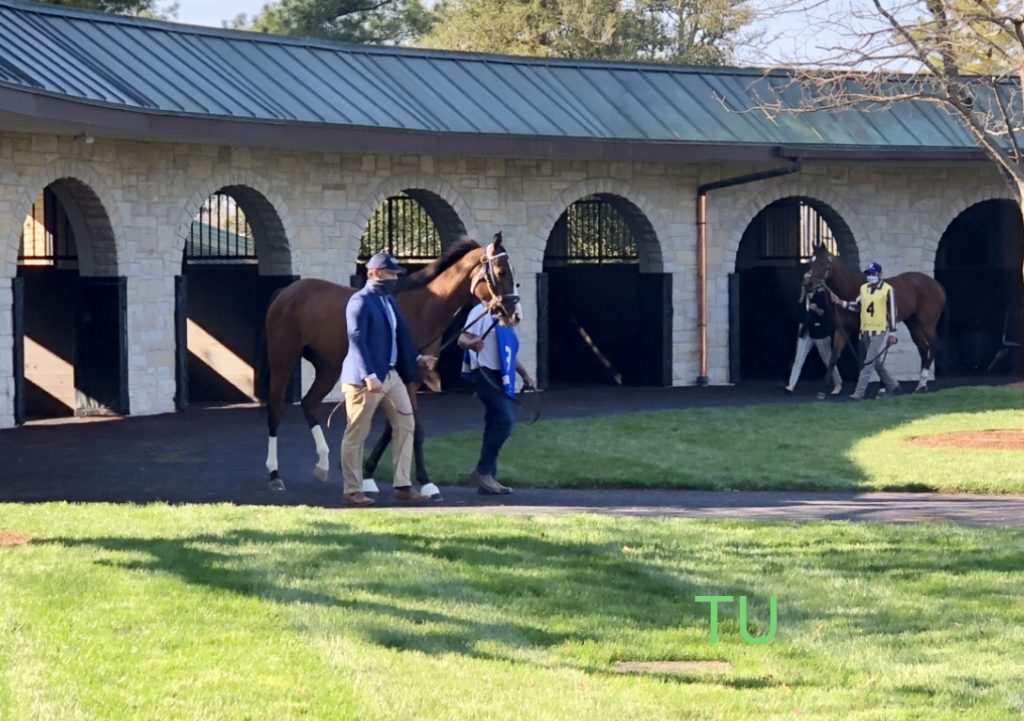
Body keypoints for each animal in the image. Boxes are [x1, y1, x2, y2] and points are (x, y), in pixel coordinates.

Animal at [262, 235, 520, 489]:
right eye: (501, 271)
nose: (515, 314)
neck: (421, 309)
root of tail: (286, 291)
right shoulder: (406, 380)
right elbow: (415, 429)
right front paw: (426, 481)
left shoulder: (408, 380)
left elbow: (392, 428)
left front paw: (368, 471)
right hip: (283, 359)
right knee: (276, 410)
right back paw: (274, 475)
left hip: (328, 367)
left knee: (309, 403)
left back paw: (323, 464)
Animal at [806, 243, 942, 391]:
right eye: (810, 262)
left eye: (821, 262)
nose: (809, 285)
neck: (849, 289)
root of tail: (938, 286)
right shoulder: (842, 329)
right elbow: (834, 357)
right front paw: (822, 390)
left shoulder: (862, 331)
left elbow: (866, 357)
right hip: (913, 324)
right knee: (923, 348)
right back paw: (920, 384)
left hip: (927, 324)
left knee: (933, 345)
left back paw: (922, 383)